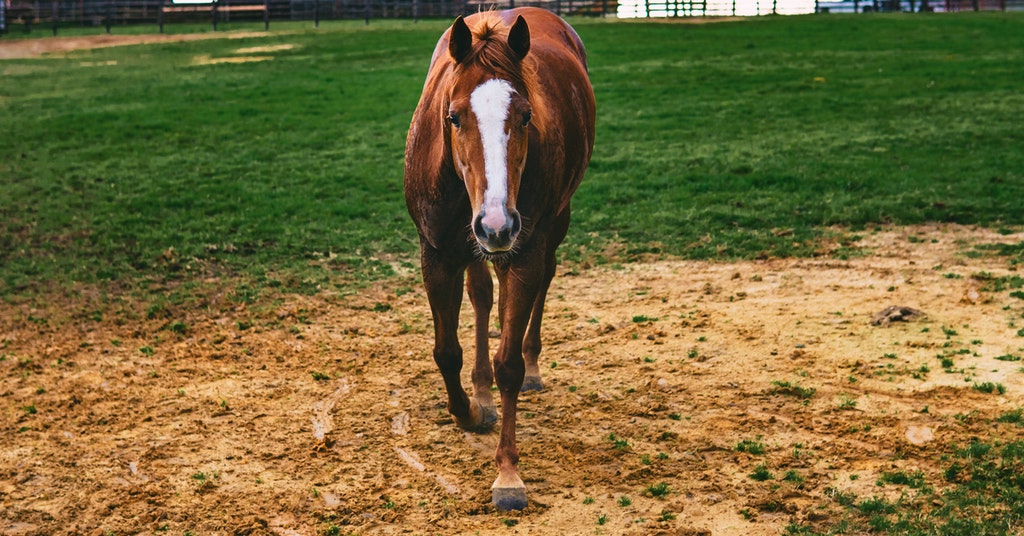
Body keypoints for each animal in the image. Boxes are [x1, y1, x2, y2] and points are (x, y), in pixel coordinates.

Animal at [399, 8, 593, 512]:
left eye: (525, 116)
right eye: (453, 116)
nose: (495, 223)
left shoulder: (523, 250)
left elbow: (509, 363)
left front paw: (507, 474)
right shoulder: (437, 254)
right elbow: (446, 351)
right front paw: (469, 410)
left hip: (549, 225)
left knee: (542, 282)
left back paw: (531, 365)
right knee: (484, 296)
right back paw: (481, 389)